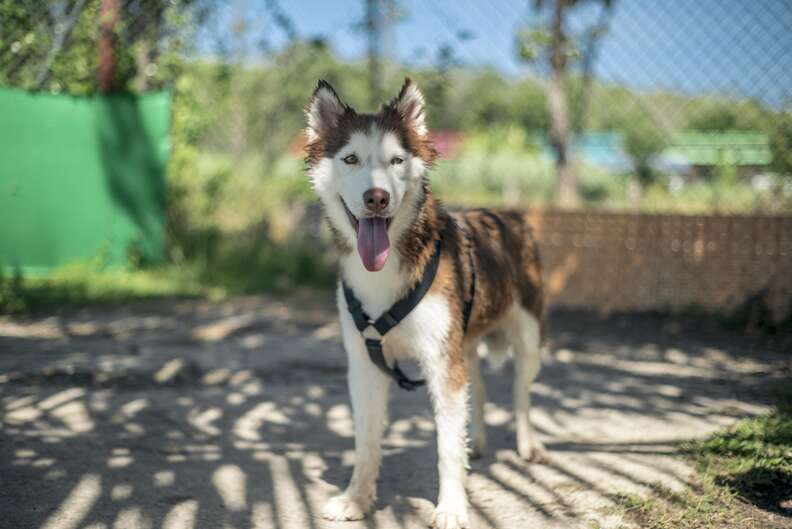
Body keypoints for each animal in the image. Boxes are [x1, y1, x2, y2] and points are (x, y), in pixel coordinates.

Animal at [304, 76, 544, 524]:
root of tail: (509, 215)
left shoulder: (441, 362)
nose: (377, 198)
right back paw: (478, 443)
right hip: (466, 341)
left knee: (520, 392)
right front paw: (356, 499)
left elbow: (446, 447)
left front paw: (451, 507)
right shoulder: (365, 365)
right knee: (479, 388)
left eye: (397, 160)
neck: (385, 271)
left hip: (529, 336)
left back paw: (527, 445)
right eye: (350, 159)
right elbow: (365, 442)